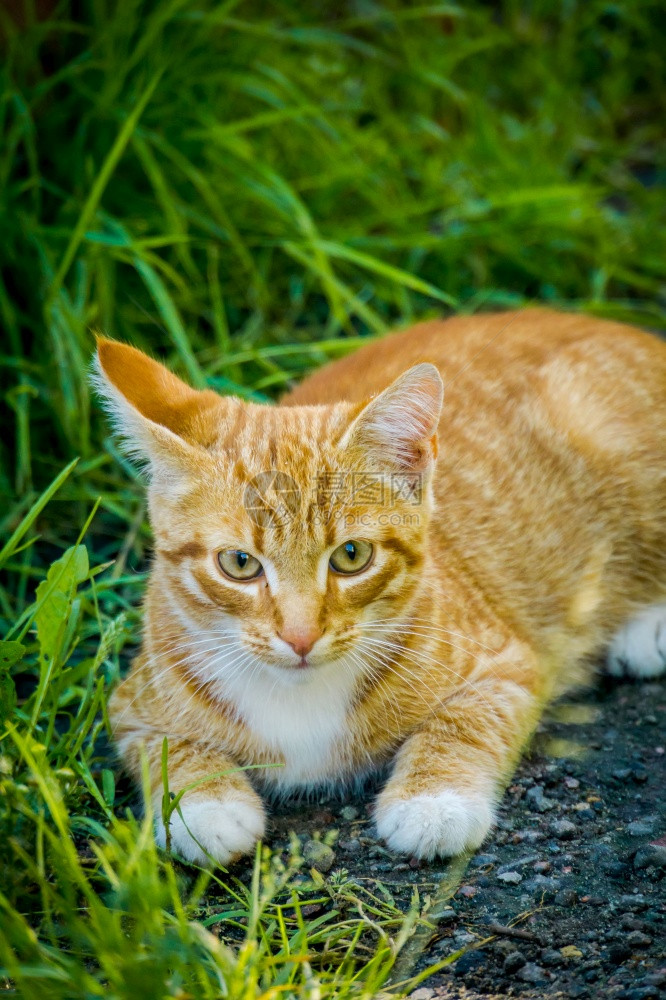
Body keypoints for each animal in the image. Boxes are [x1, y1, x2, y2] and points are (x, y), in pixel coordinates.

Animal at [96, 308, 664, 864]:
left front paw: (433, 800)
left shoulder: (509, 664)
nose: (300, 638)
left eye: (351, 556)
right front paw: (204, 805)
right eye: (239, 563)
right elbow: (167, 747)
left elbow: (466, 717)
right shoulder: (130, 705)